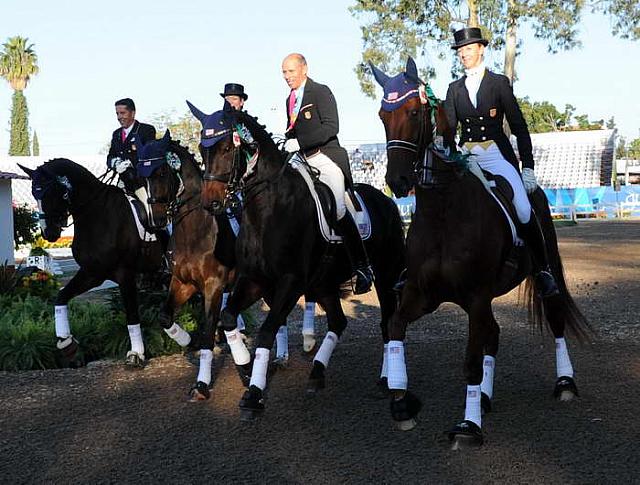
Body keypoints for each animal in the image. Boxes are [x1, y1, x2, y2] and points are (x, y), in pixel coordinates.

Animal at [18, 159, 164, 366]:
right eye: (33, 194)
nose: (49, 234)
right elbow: (61, 296)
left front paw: (136, 353)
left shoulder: (124, 273)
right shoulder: (92, 273)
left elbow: (131, 312)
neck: (96, 213)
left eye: (54, 193)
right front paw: (66, 342)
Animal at [135, 130, 235, 398]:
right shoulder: (182, 282)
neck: (196, 231)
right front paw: (187, 341)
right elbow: (164, 317)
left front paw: (201, 384)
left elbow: (209, 330)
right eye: (141, 176)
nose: (156, 220)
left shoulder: (214, 286)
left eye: (161, 172)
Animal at [199, 108, 404, 418]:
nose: (210, 203)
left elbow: (267, 331)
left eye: (226, 148)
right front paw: (245, 368)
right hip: (325, 283)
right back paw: (317, 373)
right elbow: (228, 317)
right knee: (338, 321)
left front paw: (254, 394)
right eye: (202, 150)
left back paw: (385, 381)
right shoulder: (255, 280)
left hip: (385, 275)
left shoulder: (290, 282)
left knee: (387, 323)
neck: (268, 211)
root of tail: (387, 200)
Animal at [370, 58, 592, 448]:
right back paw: (485, 397)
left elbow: (471, 363)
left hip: (540, 274)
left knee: (554, 318)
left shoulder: (474, 296)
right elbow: (395, 326)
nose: (397, 182)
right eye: (383, 115)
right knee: (494, 334)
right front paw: (401, 402)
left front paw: (467, 426)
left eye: (414, 112)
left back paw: (564, 383)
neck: (443, 207)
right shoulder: (422, 293)